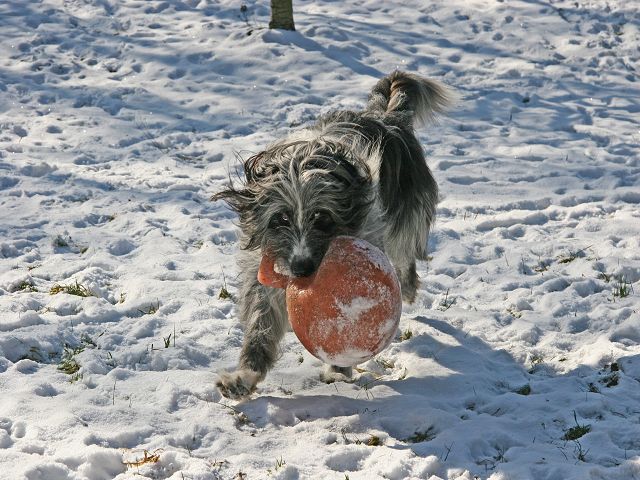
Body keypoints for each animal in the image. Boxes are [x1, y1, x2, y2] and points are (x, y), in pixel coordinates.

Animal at [211, 71, 450, 400]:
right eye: (280, 218)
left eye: (322, 217)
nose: (300, 268)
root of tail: (386, 115)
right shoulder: (263, 270)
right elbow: (261, 322)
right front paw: (243, 377)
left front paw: (338, 369)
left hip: (406, 214)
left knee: (405, 256)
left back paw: (409, 287)